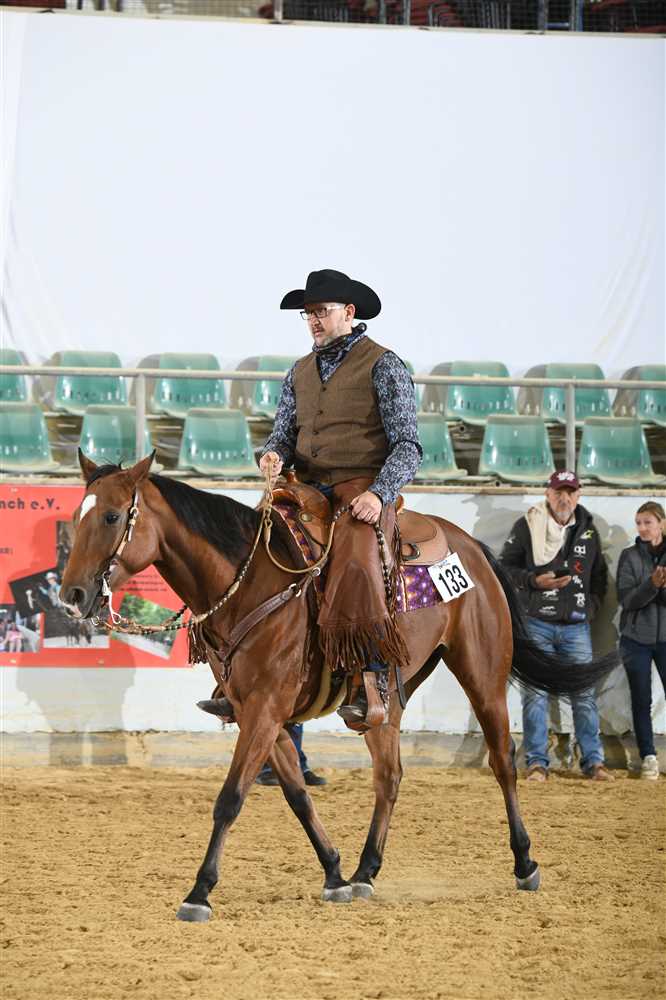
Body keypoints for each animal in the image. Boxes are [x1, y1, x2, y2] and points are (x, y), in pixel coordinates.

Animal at [60, 451, 619, 922]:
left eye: (112, 517)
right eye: (78, 517)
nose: (72, 595)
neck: (252, 585)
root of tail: (472, 548)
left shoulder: (265, 710)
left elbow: (231, 797)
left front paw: (199, 892)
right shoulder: (257, 714)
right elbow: (297, 795)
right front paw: (334, 873)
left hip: (483, 674)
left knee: (503, 761)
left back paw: (525, 863)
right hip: (383, 697)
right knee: (389, 776)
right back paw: (366, 869)